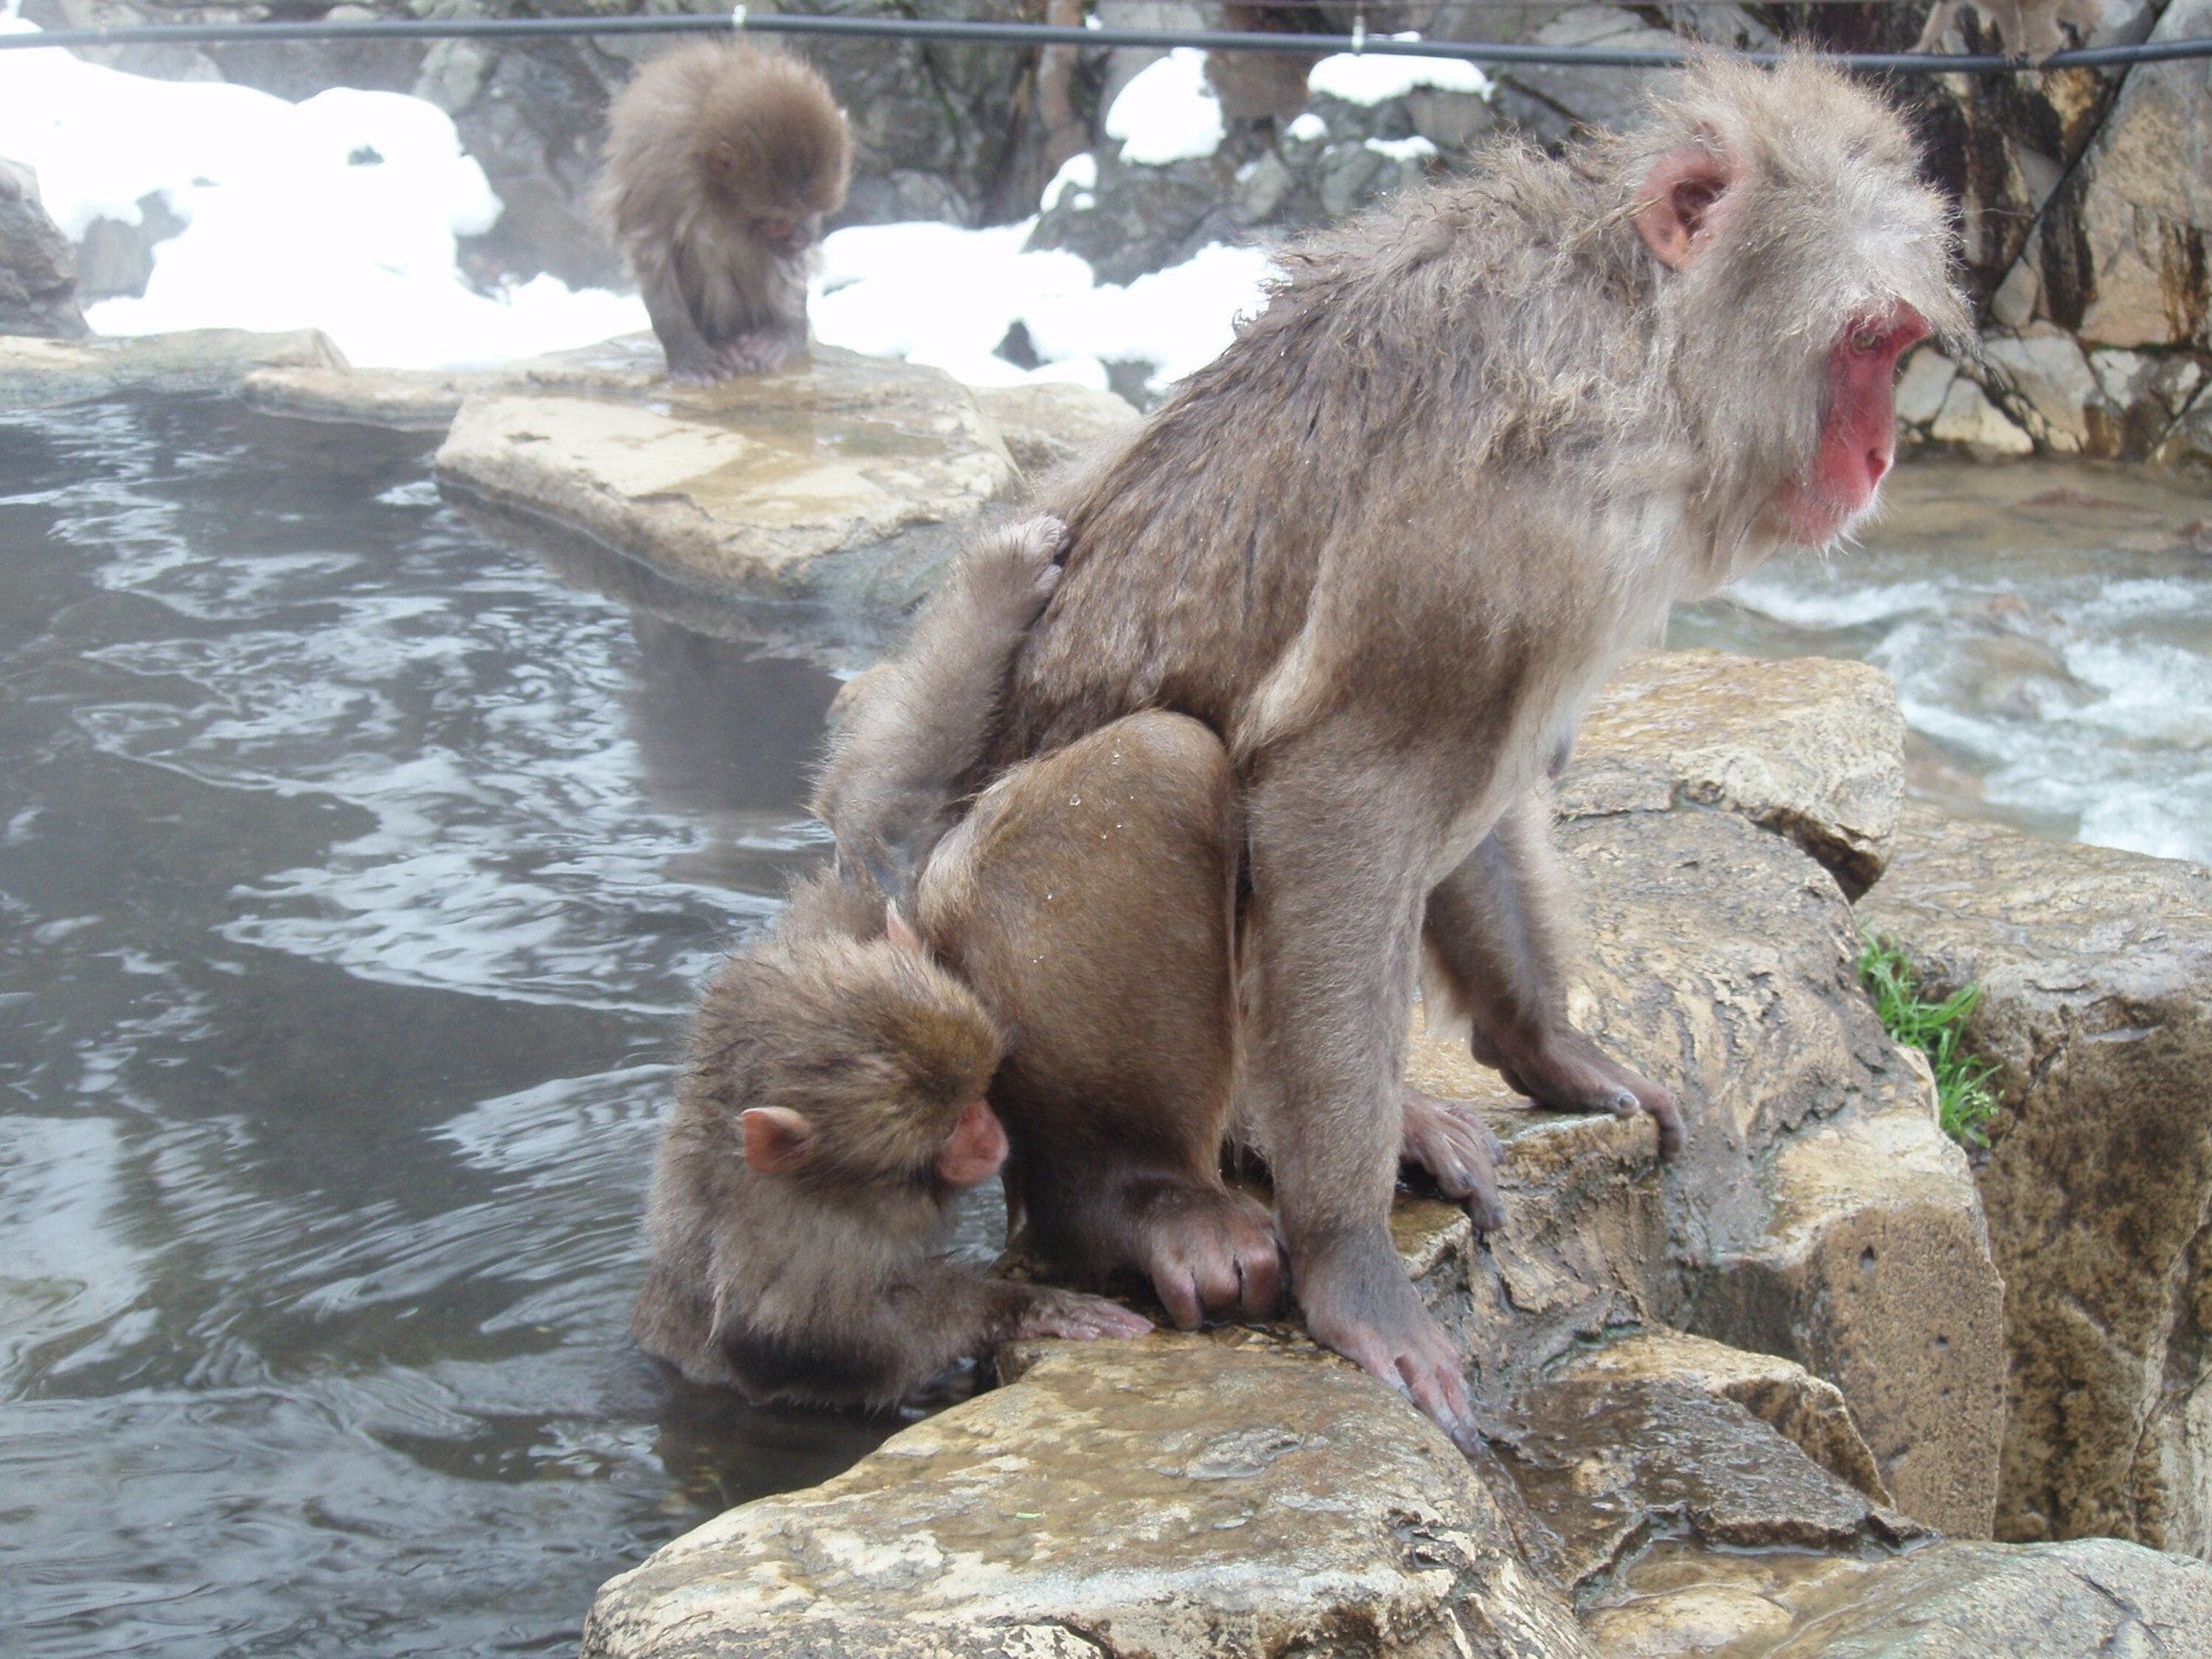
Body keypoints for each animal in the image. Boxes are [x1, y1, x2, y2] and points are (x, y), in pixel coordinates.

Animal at [597, 44, 851, 382]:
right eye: (779, 220)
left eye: (812, 213)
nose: (799, 234)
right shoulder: (661, 174)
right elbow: (651, 252)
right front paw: (687, 353)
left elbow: (788, 258)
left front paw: (788, 330)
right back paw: (720, 342)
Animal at [631, 865, 1152, 1410]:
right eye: (950, 1130)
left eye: (974, 1099)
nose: (988, 1139)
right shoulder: (797, 1230)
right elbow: (804, 1339)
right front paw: (1020, 1307)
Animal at [921, 54, 1971, 1445]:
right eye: (1864, 345)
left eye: (1899, 351)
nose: (1881, 451)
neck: (1636, 351)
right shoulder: (1483, 526)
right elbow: (1339, 795)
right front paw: (1350, 1257)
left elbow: (1500, 768)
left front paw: (1548, 1043)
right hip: (980, 994)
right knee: (1154, 776)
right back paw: (1139, 1195)